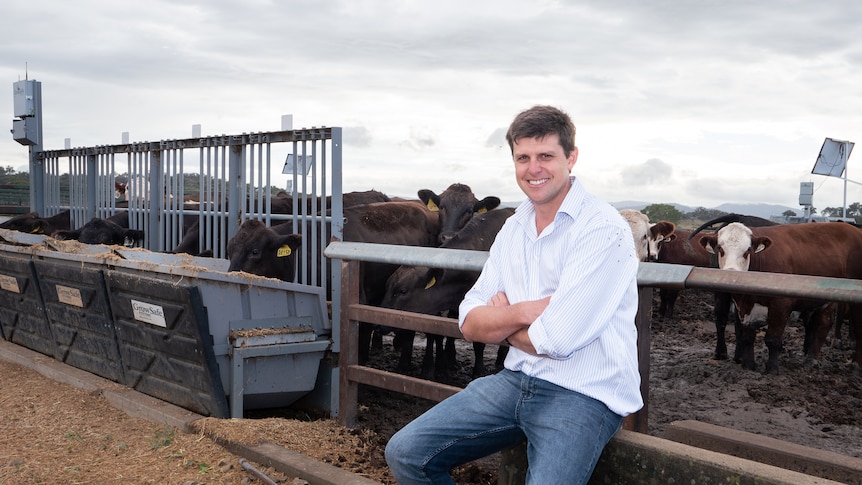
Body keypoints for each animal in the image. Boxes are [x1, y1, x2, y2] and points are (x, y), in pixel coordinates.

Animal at [704, 221, 862, 372]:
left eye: (748, 250)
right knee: (823, 323)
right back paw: (811, 360)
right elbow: (748, 336)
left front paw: (772, 368)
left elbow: (773, 339)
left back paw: (855, 364)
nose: (731, 273)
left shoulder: (781, 304)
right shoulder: (744, 307)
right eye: (720, 248)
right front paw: (748, 366)